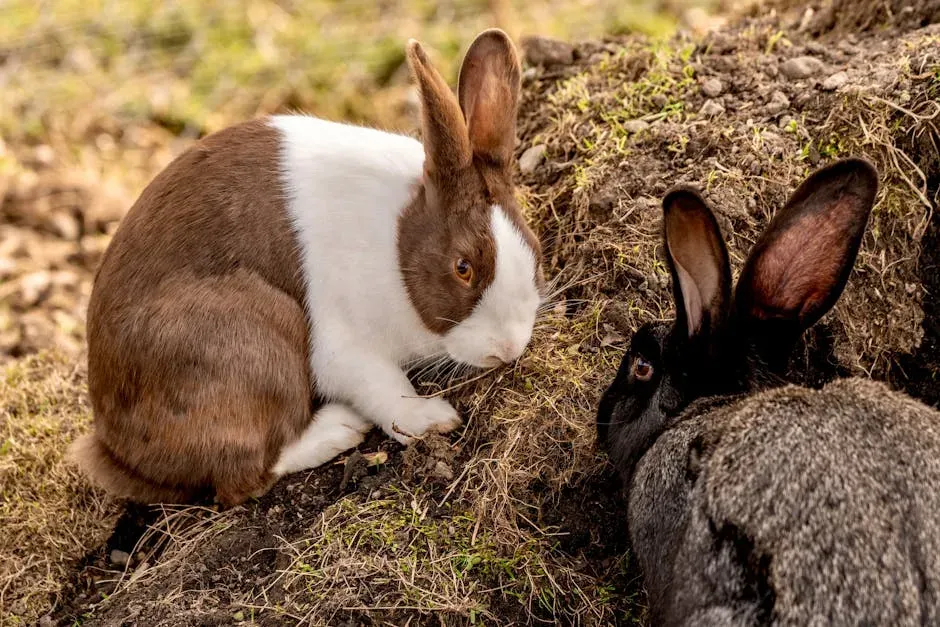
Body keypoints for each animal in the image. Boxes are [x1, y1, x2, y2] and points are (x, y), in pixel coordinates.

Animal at [70, 29, 544, 506]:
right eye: (463, 267)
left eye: (534, 248)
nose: (507, 349)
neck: (397, 242)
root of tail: (117, 451)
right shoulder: (345, 345)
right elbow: (384, 387)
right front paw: (431, 419)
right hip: (252, 336)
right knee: (242, 477)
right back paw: (339, 430)